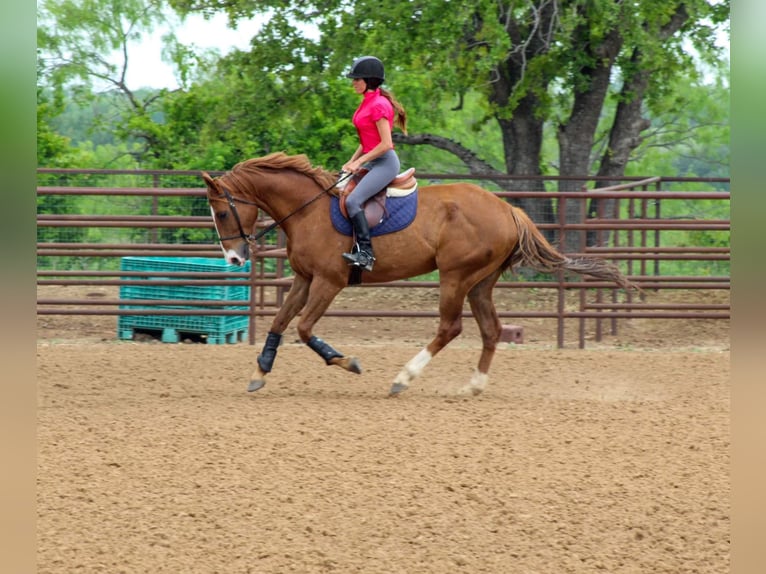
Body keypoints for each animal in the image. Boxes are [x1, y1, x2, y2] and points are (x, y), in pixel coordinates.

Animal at [202, 151, 636, 398]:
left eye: (221, 212)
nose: (234, 258)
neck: (308, 211)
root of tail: (507, 208)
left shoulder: (329, 282)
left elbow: (305, 329)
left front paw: (347, 362)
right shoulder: (305, 279)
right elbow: (279, 321)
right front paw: (260, 370)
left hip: (455, 276)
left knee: (450, 328)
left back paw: (403, 379)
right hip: (480, 281)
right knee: (491, 330)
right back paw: (473, 386)